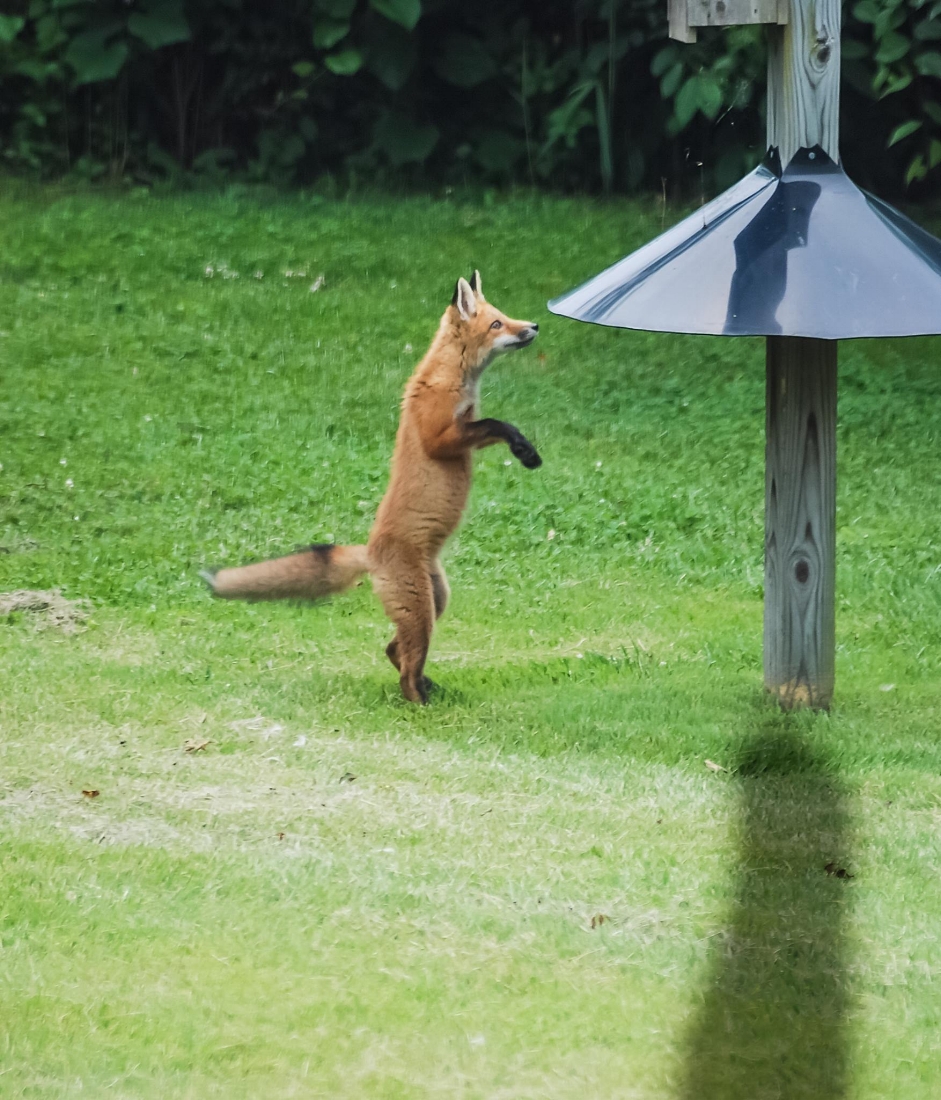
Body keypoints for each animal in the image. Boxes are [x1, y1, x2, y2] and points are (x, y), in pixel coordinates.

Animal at [202, 273, 541, 704]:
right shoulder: (441, 437)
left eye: (505, 316)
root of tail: (370, 552)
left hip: (436, 600)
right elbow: (497, 423)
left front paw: (525, 450)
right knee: (405, 667)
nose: (533, 326)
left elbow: (492, 426)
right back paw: (421, 703)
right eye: (497, 324)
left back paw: (430, 686)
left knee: (394, 650)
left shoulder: (466, 431)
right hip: (421, 610)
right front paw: (523, 448)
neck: (452, 376)